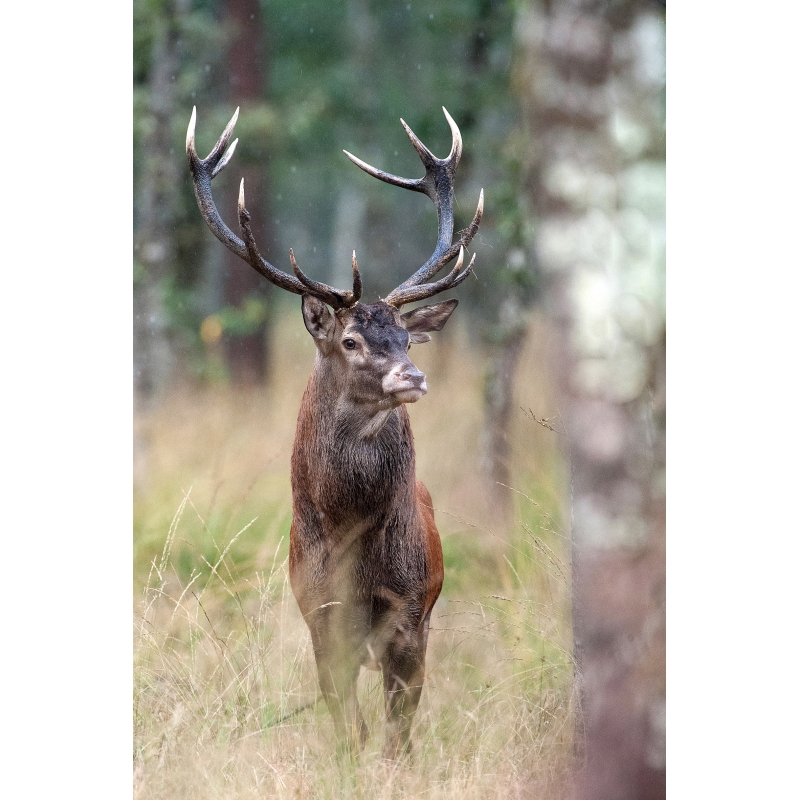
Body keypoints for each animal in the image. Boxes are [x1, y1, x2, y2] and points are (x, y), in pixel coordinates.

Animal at [186, 106, 483, 759]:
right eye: (350, 340)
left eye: (405, 336)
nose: (413, 375)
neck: (354, 548)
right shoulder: (322, 619)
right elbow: (349, 729)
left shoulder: (409, 618)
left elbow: (397, 736)